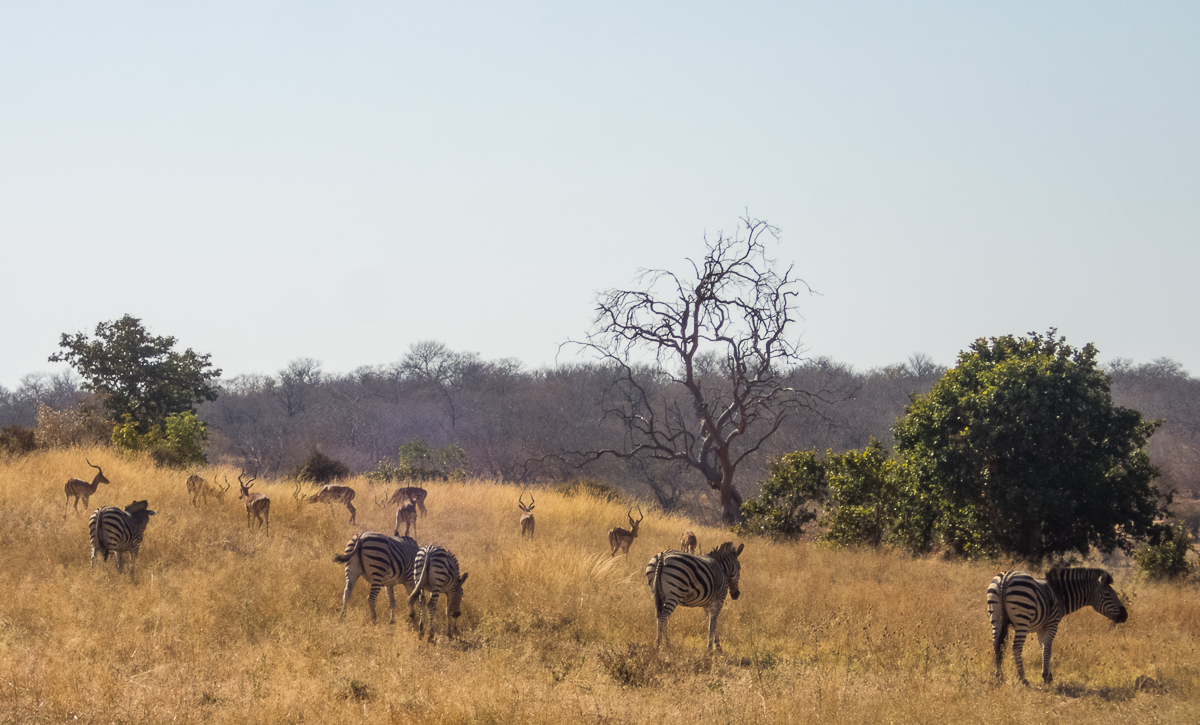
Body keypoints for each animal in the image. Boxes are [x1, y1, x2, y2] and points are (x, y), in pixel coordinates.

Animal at [984, 566, 1123, 686]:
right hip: (1022, 620)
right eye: (1108, 594)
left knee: (997, 645)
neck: (1059, 593)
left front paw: (1047, 674)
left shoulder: (1041, 628)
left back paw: (999, 676)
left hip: (996, 618)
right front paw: (1046, 676)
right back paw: (1023, 678)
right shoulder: (1052, 624)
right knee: (1016, 646)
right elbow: (1048, 649)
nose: (1125, 615)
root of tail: (1005, 578)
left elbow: (1042, 647)